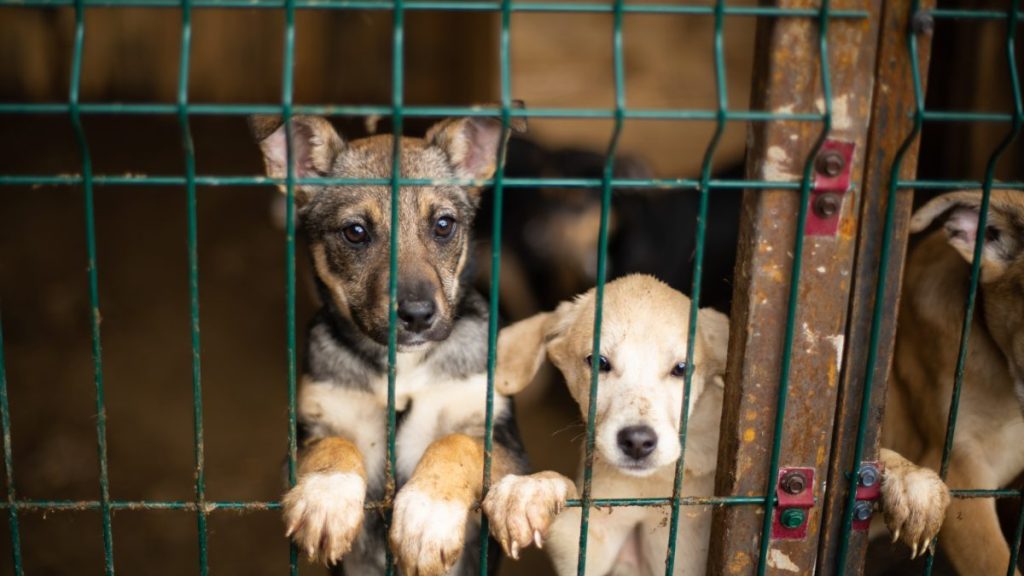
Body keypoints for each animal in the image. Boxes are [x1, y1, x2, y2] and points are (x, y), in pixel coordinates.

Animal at [247, 113, 528, 573]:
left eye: (444, 225)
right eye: (355, 232)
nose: (417, 315)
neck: (404, 367)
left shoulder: (506, 447)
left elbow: (458, 442)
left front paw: (427, 516)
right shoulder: (303, 438)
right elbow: (334, 444)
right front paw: (326, 497)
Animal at [483, 272, 946, 573]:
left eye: (682, 369)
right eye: (598, 363)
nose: (638, 442)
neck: (658, 483)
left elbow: (865, 476)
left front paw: (911, 482)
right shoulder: (597, 548)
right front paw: (529, 491)